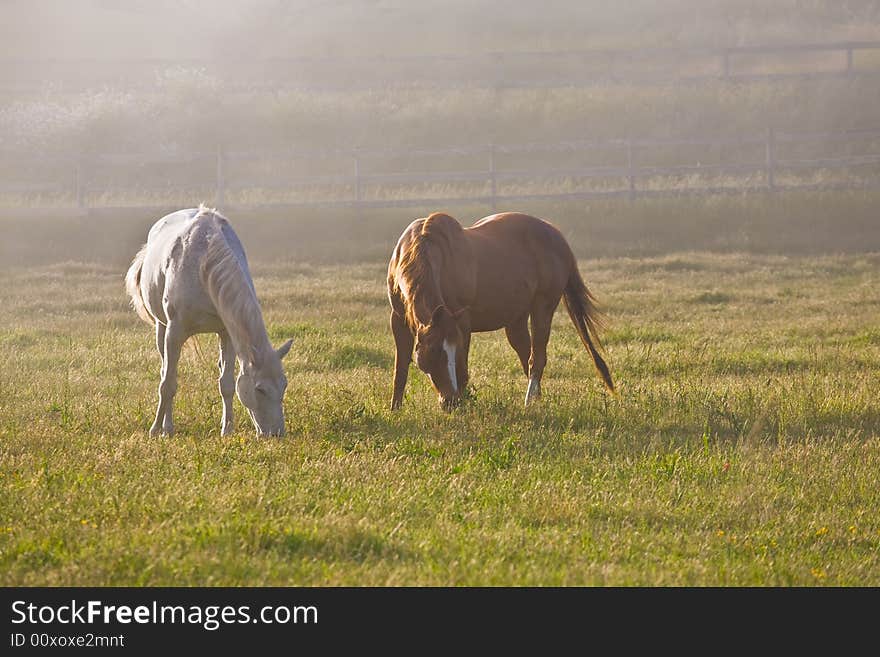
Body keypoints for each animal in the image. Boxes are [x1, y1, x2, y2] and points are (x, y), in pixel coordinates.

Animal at [125, 205, 294, 436]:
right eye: (260, 389)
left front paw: (227, 429)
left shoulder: (227, 333)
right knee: (165, 371)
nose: (277, 433)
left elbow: (227, 384)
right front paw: (158, 430)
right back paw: (166, 426)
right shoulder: (174, 331)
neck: (202, 265)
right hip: (162, 328)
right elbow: (168, 384)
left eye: (284, 385)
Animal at [388, 210, 616, 410]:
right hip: (516, 320)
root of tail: (559, 238)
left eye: (452, 350)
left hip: (543, 306)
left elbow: (462, 370)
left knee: (537, 358)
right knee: (527, 356)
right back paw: (537, 401)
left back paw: (528, 403)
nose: (450, 402)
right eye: (434, 351)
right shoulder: (399, 320)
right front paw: (395, 410)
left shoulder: (462, 323)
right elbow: (400, 370)